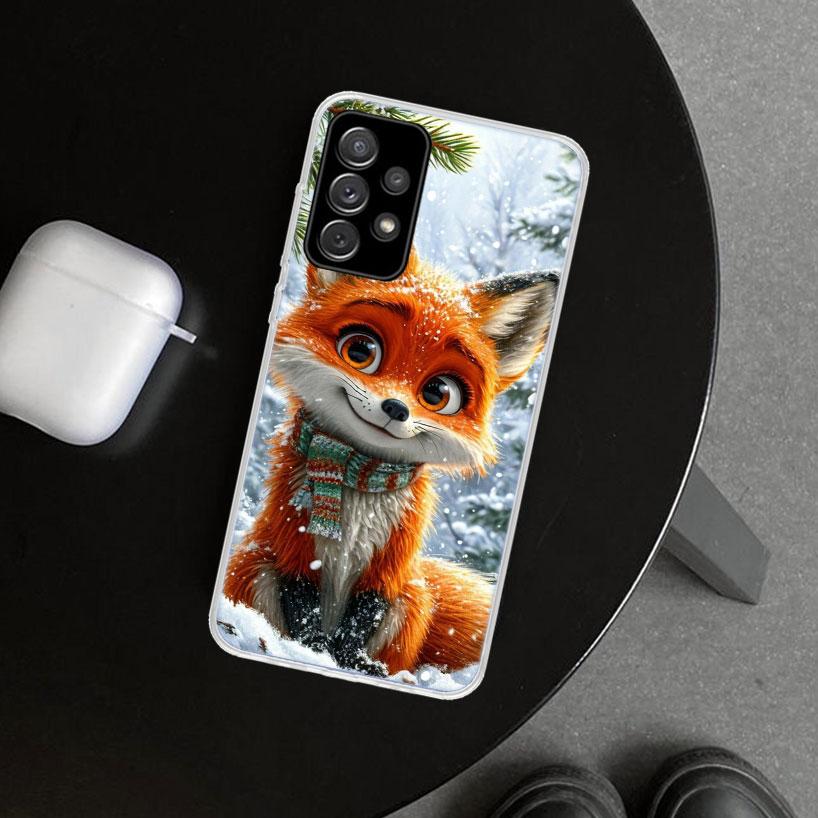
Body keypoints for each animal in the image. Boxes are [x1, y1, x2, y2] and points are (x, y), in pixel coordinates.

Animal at [224, 249, 558, 677]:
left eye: (438, 393)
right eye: (360, 351)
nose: (396, 408)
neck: (359, 477)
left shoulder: (389, 565)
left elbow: (361, 619)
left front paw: (350, 664)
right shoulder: (292, 544)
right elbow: (304, 611)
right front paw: (311, 653)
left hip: (411, 599)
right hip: (254, 565)